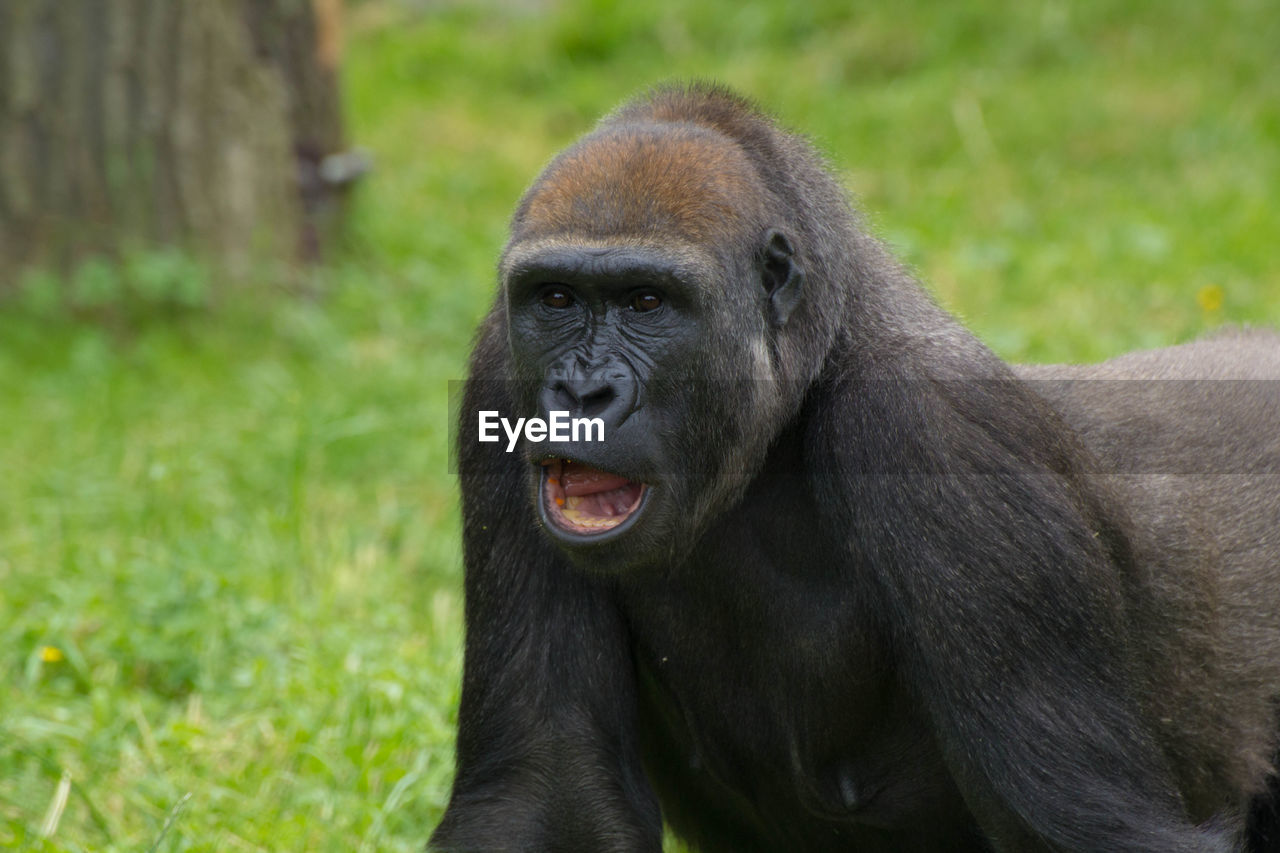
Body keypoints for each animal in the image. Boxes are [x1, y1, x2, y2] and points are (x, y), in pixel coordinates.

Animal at [430, 81, 1280, 850]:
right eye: (556, 298)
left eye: (647, 302)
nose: (582, 391)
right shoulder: (498, 369)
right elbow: (548, 792)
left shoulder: (932, 428)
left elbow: (1085, 828)